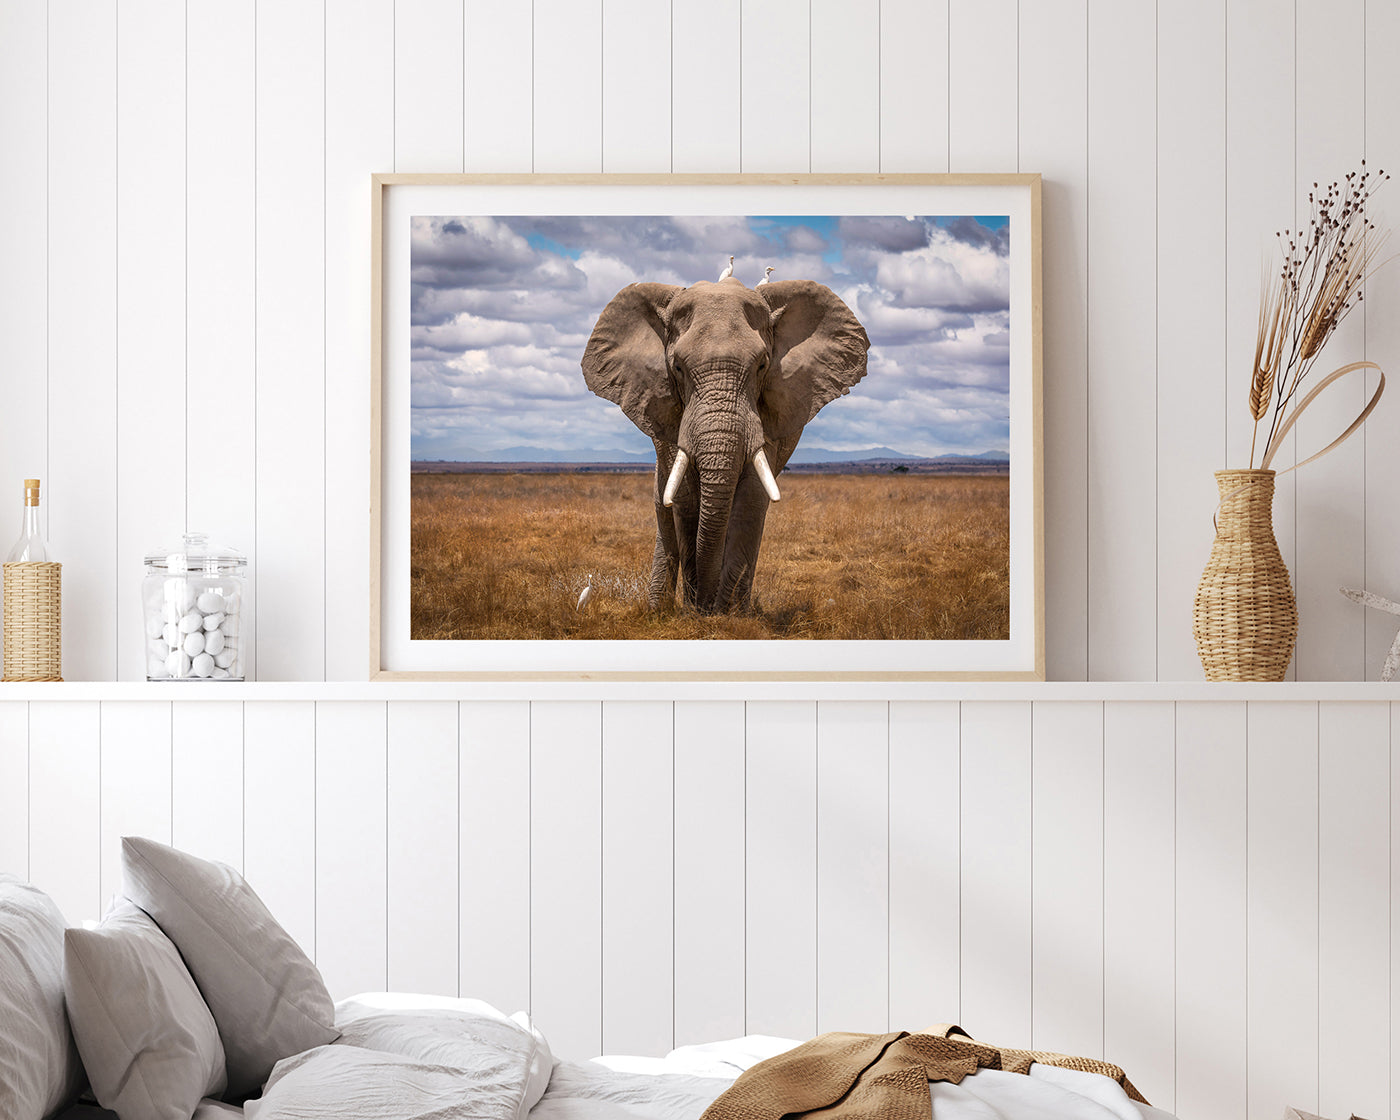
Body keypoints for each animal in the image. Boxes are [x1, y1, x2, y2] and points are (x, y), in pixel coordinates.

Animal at [581, 276, 870, 614]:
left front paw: (729, 615)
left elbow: (751, 498)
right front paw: (697, 611)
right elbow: (685, 499)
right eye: (677, 368)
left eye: (762, 366)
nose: (705, 606)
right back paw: (658, 610)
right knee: (664, 508)